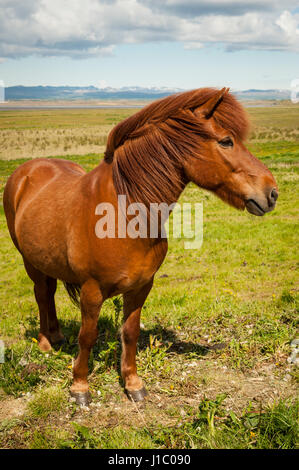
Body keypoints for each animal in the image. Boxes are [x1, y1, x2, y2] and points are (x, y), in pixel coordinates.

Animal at [3, 88, 278, 404]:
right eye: (226, 141)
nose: (272, 192)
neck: (125, 215)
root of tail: (26, 170)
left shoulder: (141, 286)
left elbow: (131, 332)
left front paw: (133, 383)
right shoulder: (91, 291)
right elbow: (88, 335)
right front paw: (79, 386)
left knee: (48, 293)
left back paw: (58, 337)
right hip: (30, 261)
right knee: (42, 293)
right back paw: (46, 343)